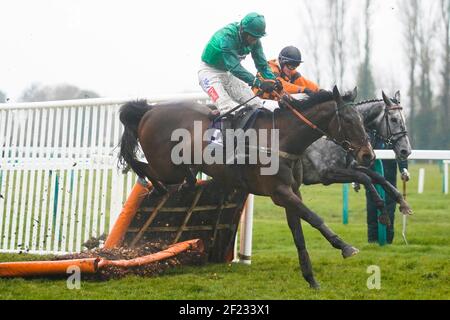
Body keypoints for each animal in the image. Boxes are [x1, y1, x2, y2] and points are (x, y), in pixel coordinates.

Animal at [118, 86, 376, 288]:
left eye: (363, 120)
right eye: (349, 120)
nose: (368, 155)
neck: (282, 139)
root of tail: (149, 111)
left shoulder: (292, 192)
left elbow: (298, 234)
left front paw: (311, 279)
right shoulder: (279, 192)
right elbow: (314, 217)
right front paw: (345, 246)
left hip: (172, 170)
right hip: (167, 168)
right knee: (142, 166)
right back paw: (157, 187)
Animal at [298, 91, 414, 224]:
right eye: (394, 119)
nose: (406, 150)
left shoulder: (350, 167)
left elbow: (378, 177)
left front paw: (402, 202)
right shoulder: (327, 174)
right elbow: (365, 178)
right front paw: (382, 210)